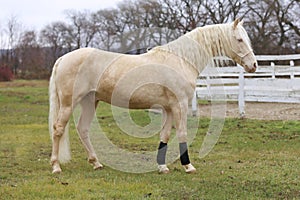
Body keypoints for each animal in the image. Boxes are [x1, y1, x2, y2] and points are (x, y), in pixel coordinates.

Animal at [48, 19, 256, 174]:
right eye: (239, 39)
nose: (253, 65)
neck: (181, 60)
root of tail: (63, 58)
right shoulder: (180, 105)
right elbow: (182, 133)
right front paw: (188, 166)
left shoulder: (168, 108)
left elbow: (165, 135)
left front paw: (162, 167)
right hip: (69, 103)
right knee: (58, 129)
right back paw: (56, 166)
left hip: (91, 101)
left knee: (82, 129)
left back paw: (96, 163)